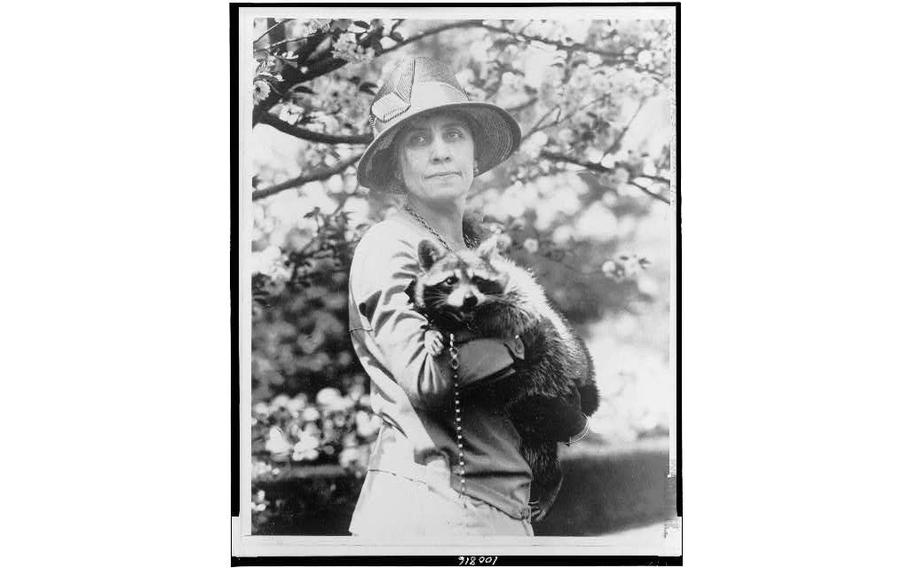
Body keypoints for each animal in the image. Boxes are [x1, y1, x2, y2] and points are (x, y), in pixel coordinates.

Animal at [412, 234, 600, 520]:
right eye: (450, 280)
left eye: (478, 279)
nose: (469, 300)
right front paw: (433, 330)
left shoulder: (517, 299)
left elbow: (510, 312)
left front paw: (453, 326)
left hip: (546, 388)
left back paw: (552, 480)